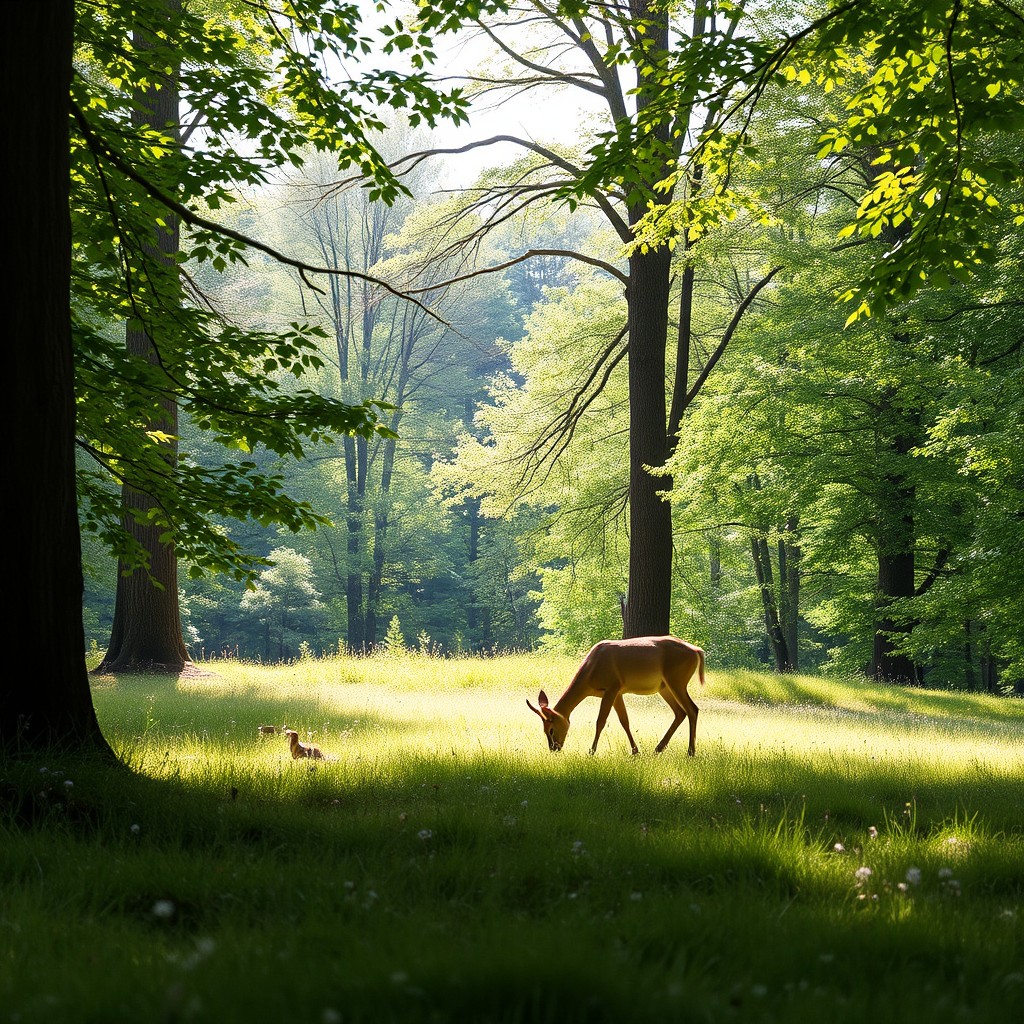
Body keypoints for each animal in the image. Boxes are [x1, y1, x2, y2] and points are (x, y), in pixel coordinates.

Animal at [527, 635, 705, 756]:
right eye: (543, 730)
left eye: (550, 730)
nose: (554, 748)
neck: (589, 677)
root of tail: (697, 651)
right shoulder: (618, 692)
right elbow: (624, 721)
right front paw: (635, 751)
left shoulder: (612, 687)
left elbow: (600, 721)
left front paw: (591, 751)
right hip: (665, 687)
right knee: (680, 712)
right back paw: (658, 748)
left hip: (677, 680)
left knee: (692, 709)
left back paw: (690, 752)